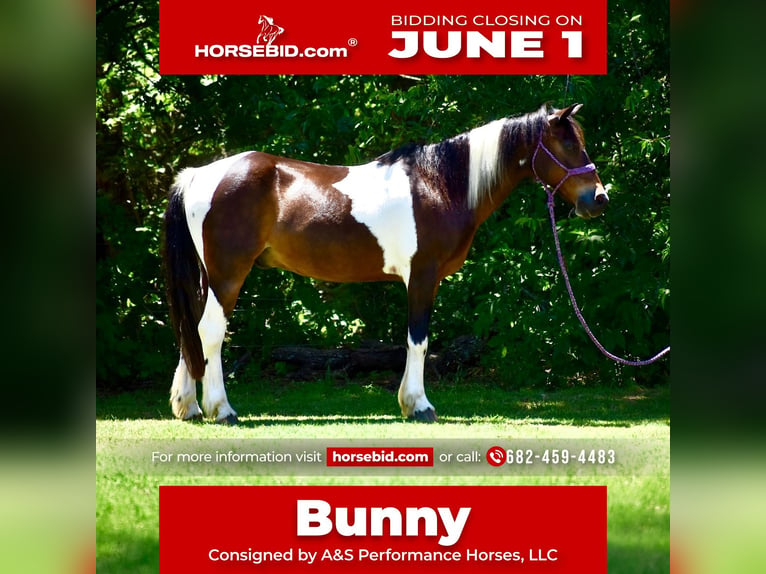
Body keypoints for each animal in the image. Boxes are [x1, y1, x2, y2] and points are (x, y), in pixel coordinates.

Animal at [162, 103, 608, 424]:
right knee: (211, 331)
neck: (440, 184)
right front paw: (420, 406)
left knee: (191, 331)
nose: (599, 198)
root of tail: (199, 175)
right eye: (569, 145)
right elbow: (418, 340)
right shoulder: (423, 276)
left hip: (207, 277)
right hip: (228, 275)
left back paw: (190, 407)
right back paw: (223, 410)